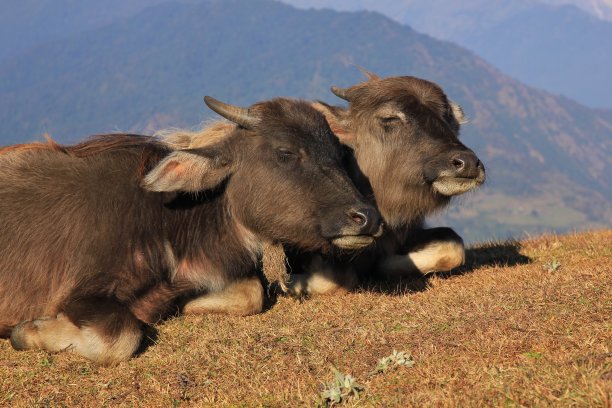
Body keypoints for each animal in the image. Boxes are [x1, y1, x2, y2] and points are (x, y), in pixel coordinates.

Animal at [0, 98, 380, 364]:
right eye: (285, 152)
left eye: (337, 155)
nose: (367, 217)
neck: (169, 217)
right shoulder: (81, 293)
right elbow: (119, 338)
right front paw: (28, 332)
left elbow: (251, 293)